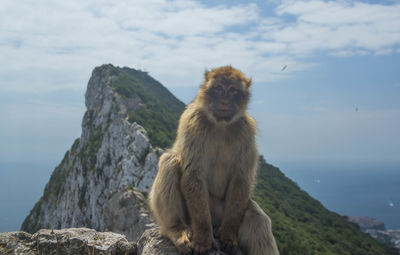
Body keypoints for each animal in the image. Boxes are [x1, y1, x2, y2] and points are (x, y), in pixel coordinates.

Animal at [148, 66, 280, 255]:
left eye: (232, 91)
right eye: (218, 89)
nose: (224, 101)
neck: (221, 125)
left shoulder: (246, 130)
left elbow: (241, 180)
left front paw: (228, 237)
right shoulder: (193, 122)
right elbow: (193, 175)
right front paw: (203, 239)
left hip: (226, 212)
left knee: (256, 216)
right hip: (196, 214)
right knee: (170, 161)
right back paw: (176, 229)